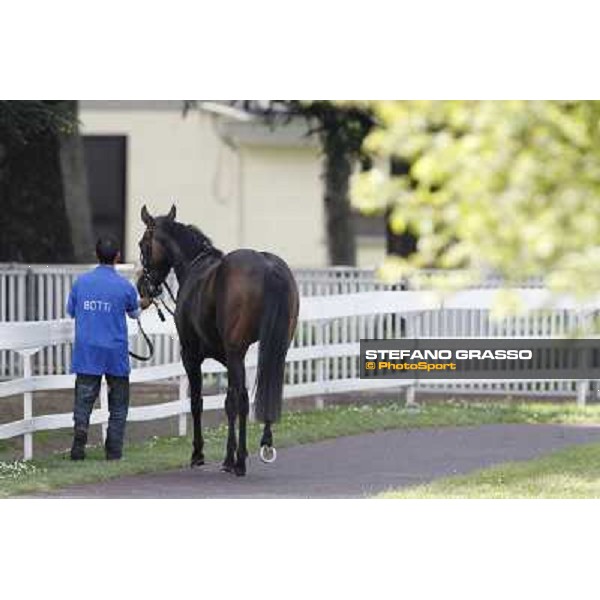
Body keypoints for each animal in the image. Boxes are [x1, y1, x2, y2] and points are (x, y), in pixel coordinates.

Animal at [139, 204, 302, 476]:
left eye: (143, 244)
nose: (144, 286)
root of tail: (268, 267)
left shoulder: (191, 355)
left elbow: (198, 402)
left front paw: (199, 454)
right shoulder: (228, 357)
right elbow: (229, 402)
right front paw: (228, 455)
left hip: (234, 352)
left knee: (244, 399)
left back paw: (240, 462)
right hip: (275, 349)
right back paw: (262, 446)